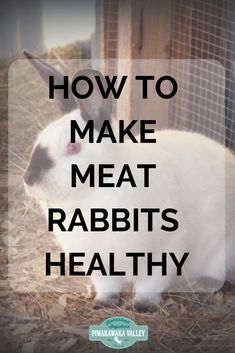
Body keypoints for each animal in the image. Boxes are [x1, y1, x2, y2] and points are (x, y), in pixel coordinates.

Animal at [22, 50, 235, 310]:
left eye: (73, 147)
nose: (28, 179)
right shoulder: (101, 264)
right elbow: (108, 286)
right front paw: (102, 303)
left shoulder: (165, 251)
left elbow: (149, 285)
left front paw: (142, 306)